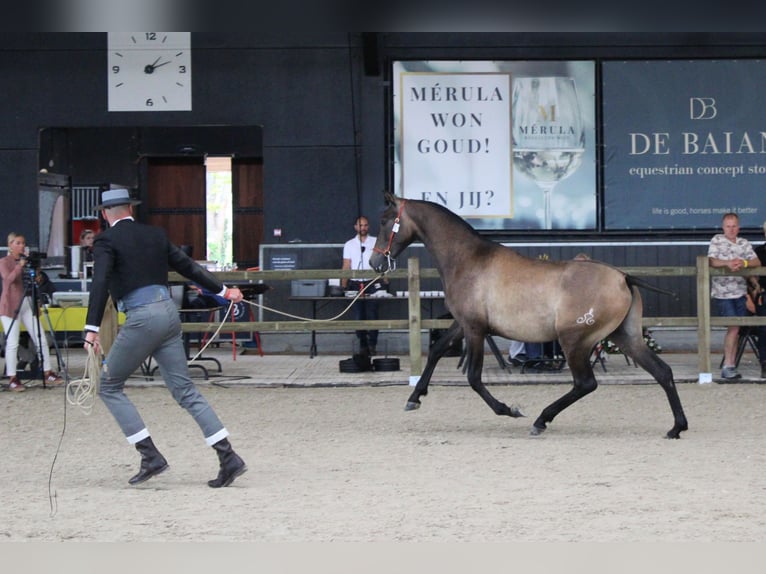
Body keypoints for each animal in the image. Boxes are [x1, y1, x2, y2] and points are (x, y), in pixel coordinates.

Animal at [369, 192, 688, 439]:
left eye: (385, 221)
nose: (374, 262)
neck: (468, 259)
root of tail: (623, 277)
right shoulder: (464, 324)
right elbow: (436, 350)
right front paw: (414, 398)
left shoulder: (475, 329)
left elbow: (473, 378)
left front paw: (509, 410)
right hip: (625, 336)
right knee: (662, 372)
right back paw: (676, 428)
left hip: (575, 341)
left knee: (586, 383)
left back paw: (541, 420)